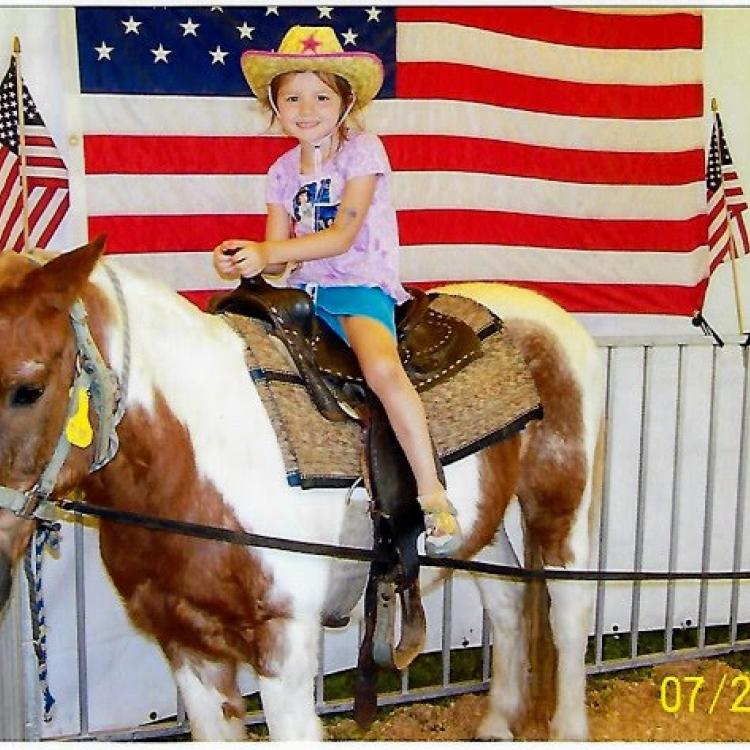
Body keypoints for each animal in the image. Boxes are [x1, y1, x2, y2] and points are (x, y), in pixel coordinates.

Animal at [0, 241, 604, 740]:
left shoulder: (283, 647)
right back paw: (498, 723)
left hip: (560, 503)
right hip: (480, 529)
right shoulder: (186, 645)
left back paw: (568, 728)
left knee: (570, 610)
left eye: (27, 389)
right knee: (507, 602)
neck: (199, 450)